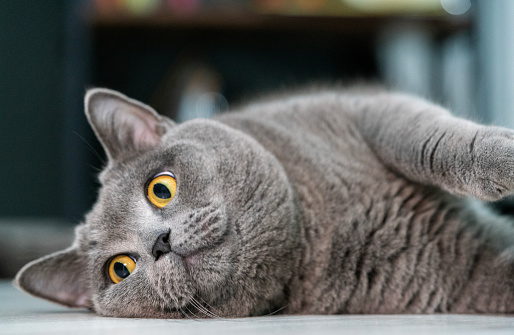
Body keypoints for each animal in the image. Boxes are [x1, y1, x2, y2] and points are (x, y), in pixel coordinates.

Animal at [14, 86, 512, 318]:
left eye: (161, 188)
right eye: (120, 268)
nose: (160, 242)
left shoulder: (367, 111)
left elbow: (431, 144)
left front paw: (503, 161)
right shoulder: (462, 279)